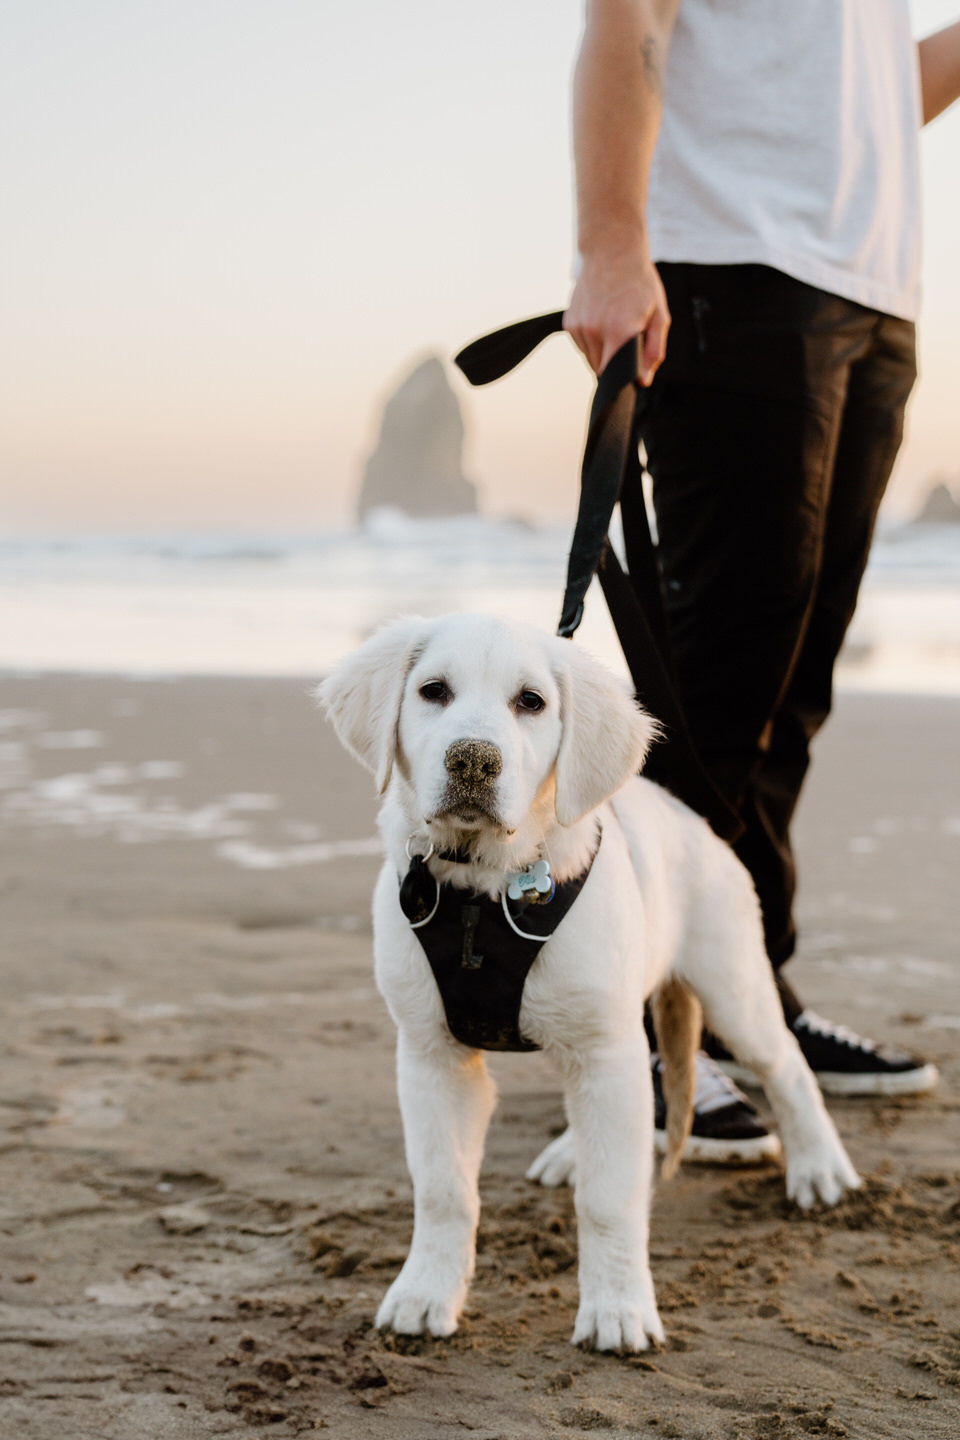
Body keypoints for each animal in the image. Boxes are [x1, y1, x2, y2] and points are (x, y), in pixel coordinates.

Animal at [319, 616, 857, 1347]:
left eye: (531, 702)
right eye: (433, 691)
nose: (473, 762)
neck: (483, 891)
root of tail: (693, 816)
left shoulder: (605, 1049)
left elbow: (609, 1199)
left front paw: (618, 1310)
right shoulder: (433, 1055)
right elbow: (443, 1188)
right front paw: (425, 1293)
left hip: (730, 984)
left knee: (787, 1066)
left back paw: (819, 1166)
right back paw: (574, 1149)